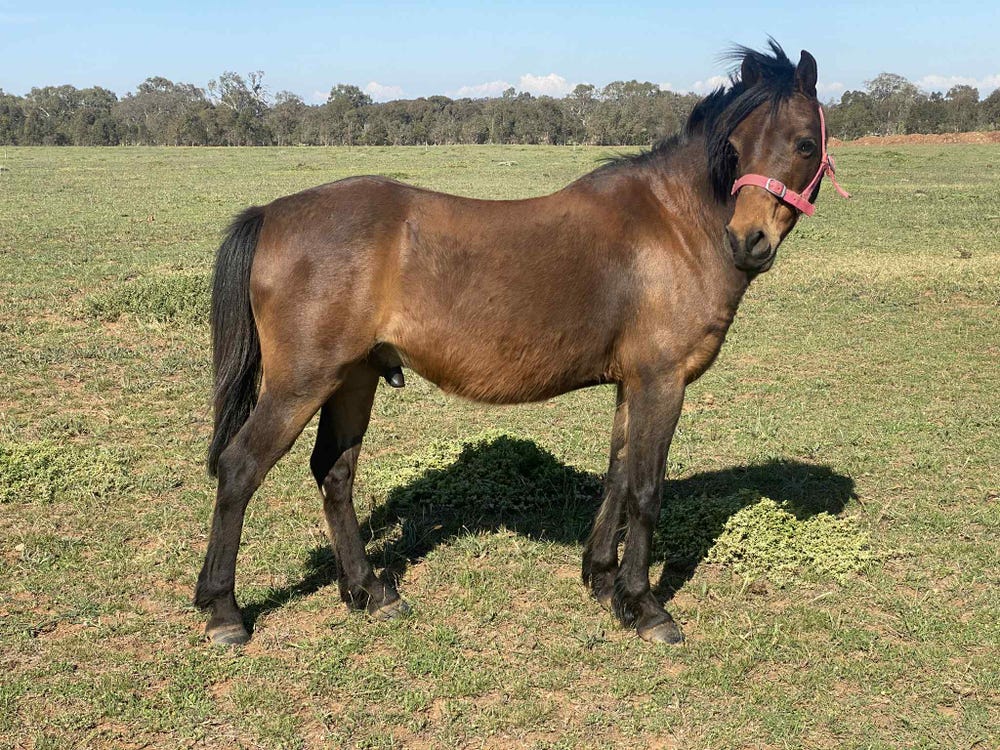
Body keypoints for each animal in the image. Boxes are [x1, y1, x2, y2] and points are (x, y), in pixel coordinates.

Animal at [194, 41, 848, 646]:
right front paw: (645, 606)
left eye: (803, 145)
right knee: (240, 468)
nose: (748, 241)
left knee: (335, 473)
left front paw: (602, 580)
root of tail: (272, 214)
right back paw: (224, 612)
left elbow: (617, 475)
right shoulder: (663, 381)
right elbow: (646, 489)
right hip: (300, 384)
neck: (675, 224)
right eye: (733, 150)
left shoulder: (633, 382)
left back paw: (369, 591)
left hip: (352, 379)